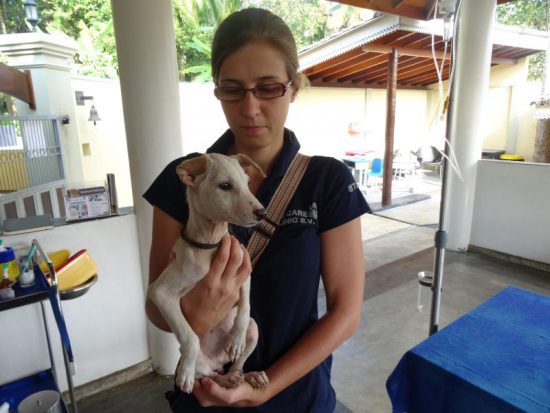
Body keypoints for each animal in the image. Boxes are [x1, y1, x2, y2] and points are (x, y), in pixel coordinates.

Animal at [150, 152, 270, 392]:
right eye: (225, 186)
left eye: (248, 183)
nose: (262, 213)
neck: (211, 243)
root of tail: (218, 361)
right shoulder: (160, 292)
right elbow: (190, 338)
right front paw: (185, 375)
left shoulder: (245, 271)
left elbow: (245, 306)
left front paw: (236, 338)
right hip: (200, 363)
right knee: (210, 376)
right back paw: (214, 377)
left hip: (254, 330)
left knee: (236, 365)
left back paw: (249, 375)